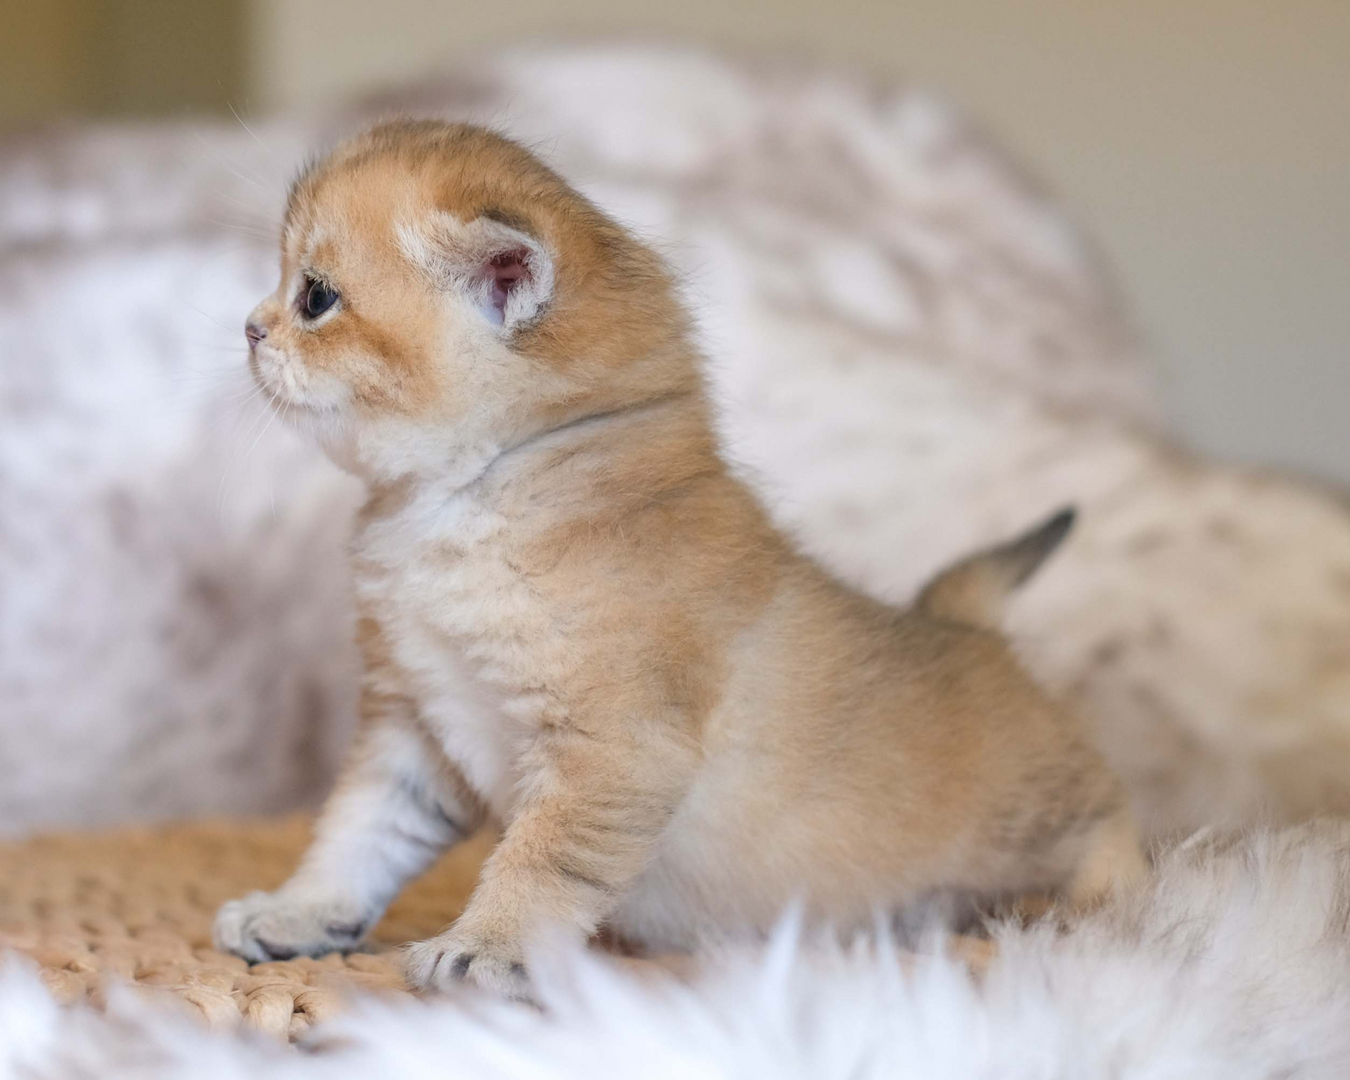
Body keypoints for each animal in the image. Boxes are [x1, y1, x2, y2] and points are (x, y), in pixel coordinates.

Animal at [210, 120, 1139, 993]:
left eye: (316, 297)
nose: (250, 326)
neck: (466, 497)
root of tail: (965, 627)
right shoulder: (415, 723)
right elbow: (357, 835)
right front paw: (299, 912)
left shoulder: (614, 749)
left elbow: (541, 862)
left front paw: (488, 946)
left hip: (1038, 821)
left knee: (1118, 823)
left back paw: (1117, 906)